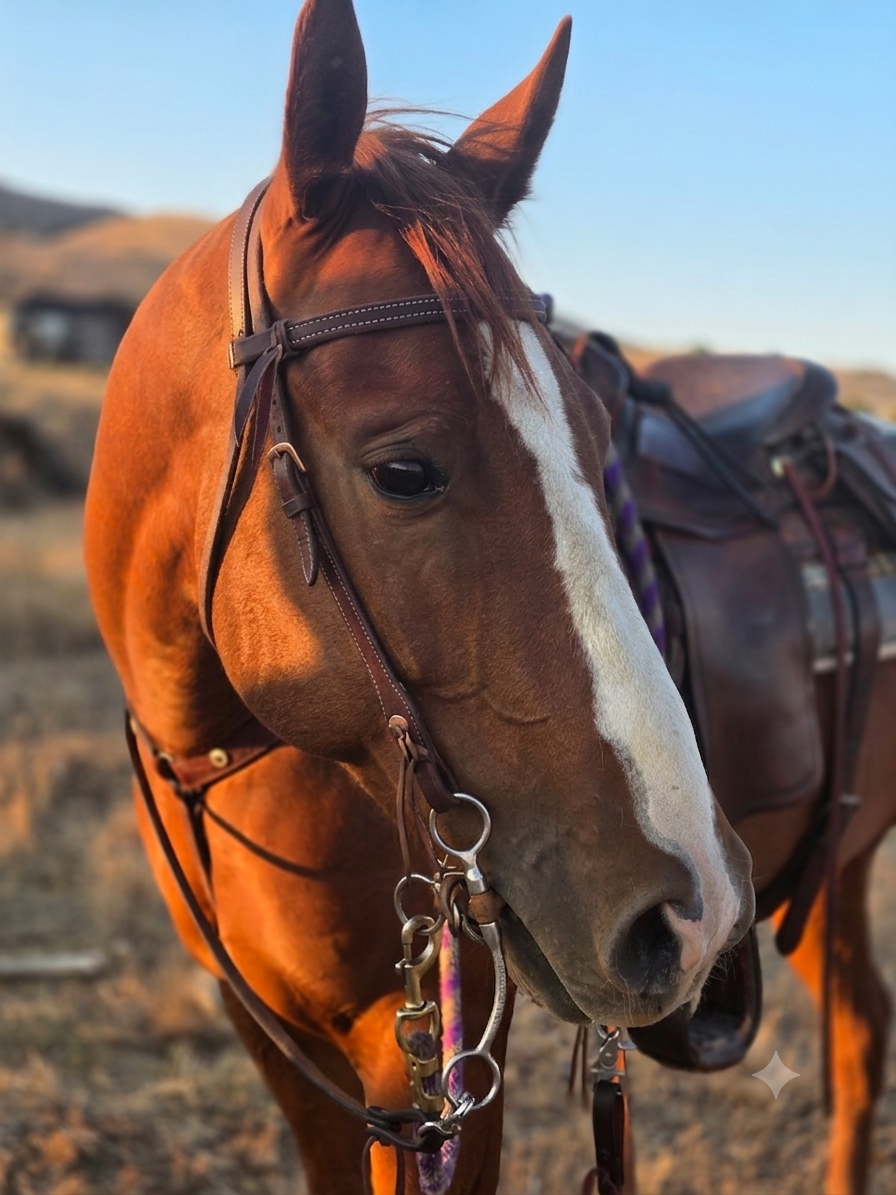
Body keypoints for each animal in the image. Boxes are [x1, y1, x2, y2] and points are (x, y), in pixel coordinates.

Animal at [84, 1, 754, 1191]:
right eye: (404, 471)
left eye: (595, 435)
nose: (698, 908)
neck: (225, 765)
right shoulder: (289, 1050)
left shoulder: (436, 1075)